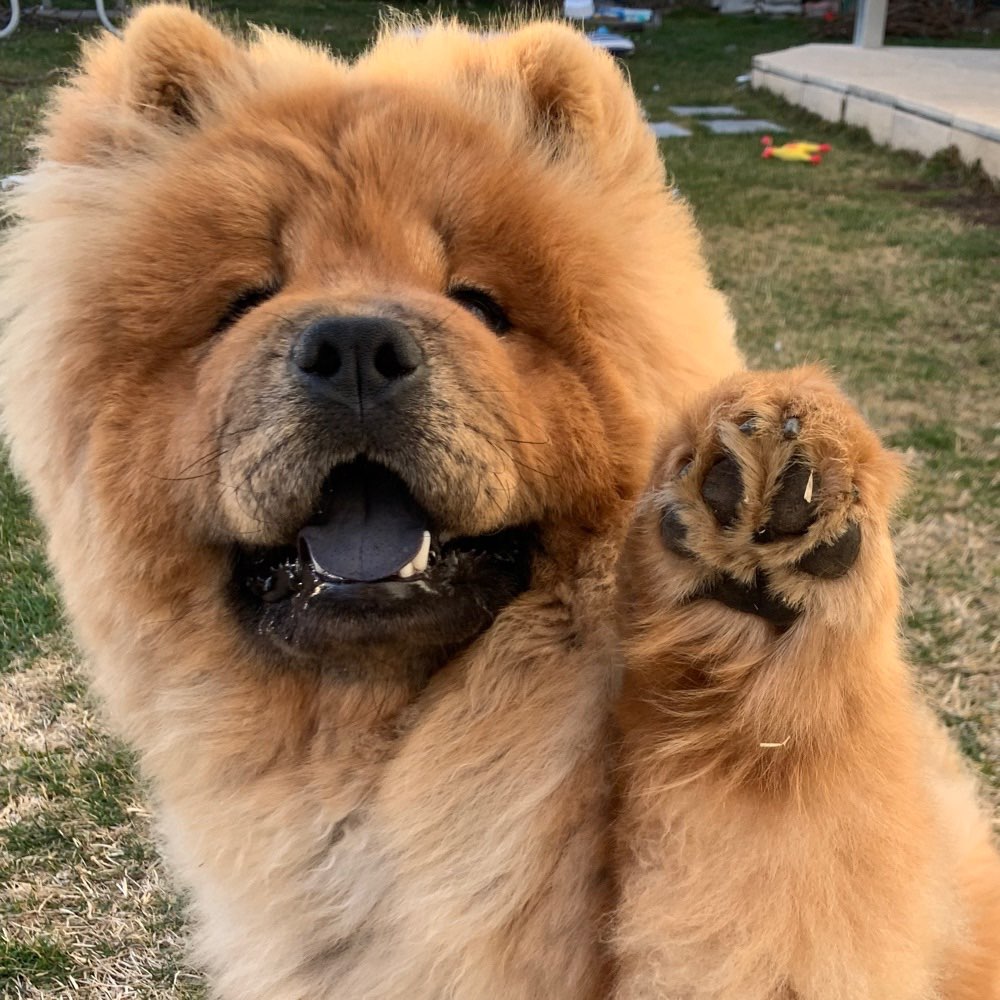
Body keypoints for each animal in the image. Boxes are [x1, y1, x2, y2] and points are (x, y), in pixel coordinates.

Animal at [1, 3, 1000, 996]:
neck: (401, 764)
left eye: (481, 305)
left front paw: (764, 582)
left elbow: (775, 815)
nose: (354, 348)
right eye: (245, 303)